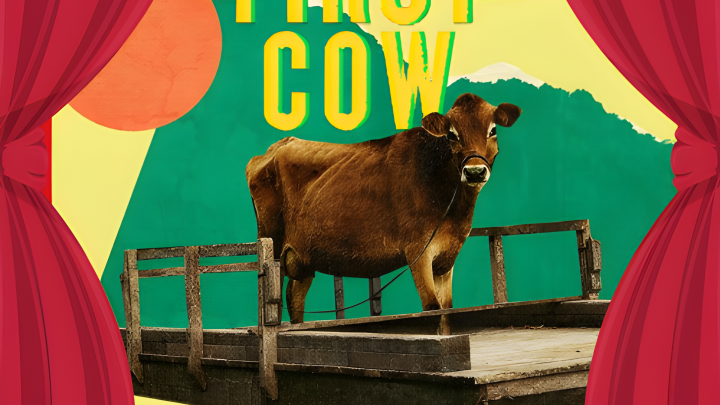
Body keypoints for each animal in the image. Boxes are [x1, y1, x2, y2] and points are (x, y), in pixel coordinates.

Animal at [246, 93, 521, 328]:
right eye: (452, 135)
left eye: (493, 130)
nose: (474, 171)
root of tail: (277, 146)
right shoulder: (418, 250)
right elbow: (432, 309)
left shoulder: (446, 258)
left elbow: (448, 312)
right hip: (272, 242)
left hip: (302, 256)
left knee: (295, 296)